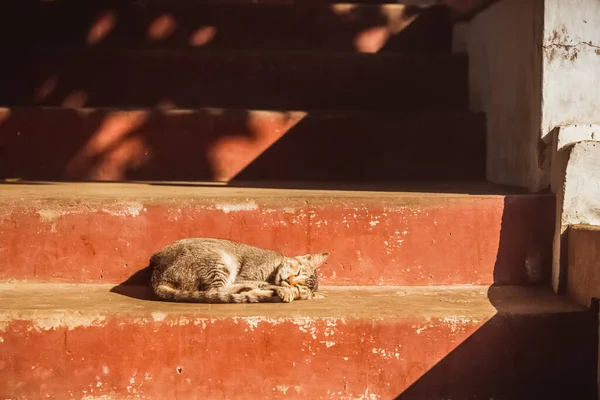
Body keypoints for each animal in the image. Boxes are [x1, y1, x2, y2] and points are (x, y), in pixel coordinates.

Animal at [149, 238, 328, 304]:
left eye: (299, 287)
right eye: (297, 271)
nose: (289, 281)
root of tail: (157, 278)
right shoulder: (245, 275)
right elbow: (265, 283)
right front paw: (283, 290)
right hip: (219, 260)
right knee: (216, 291)